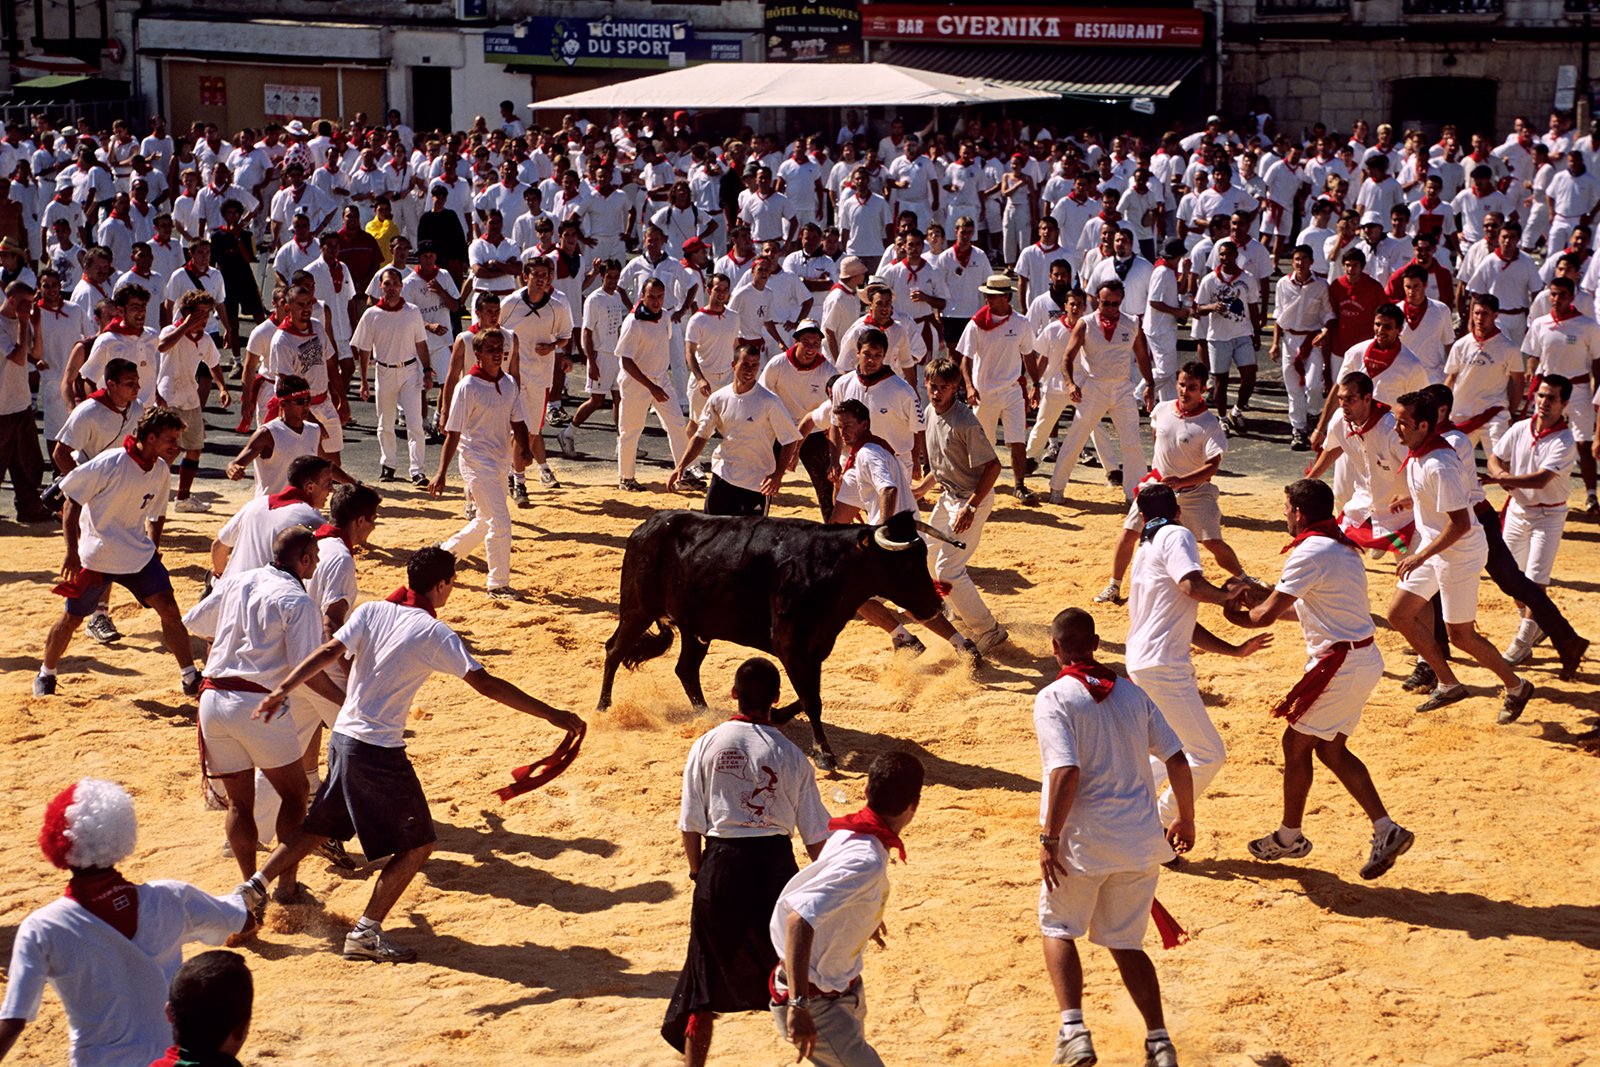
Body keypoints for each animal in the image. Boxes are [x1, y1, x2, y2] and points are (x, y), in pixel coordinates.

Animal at [601, 511, 947, 767]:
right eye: (904, 562)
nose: (935, 606)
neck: (831, 567)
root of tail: (646, 527)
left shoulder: (816, 647)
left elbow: (810, 696)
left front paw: (780, 715)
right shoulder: (791, 645)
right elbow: (812, 699)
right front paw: (824, 754)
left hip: (695, 628)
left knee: (685, 668)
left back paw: (706, 715)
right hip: (637, 610)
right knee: (615, 650)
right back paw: (604, 708)